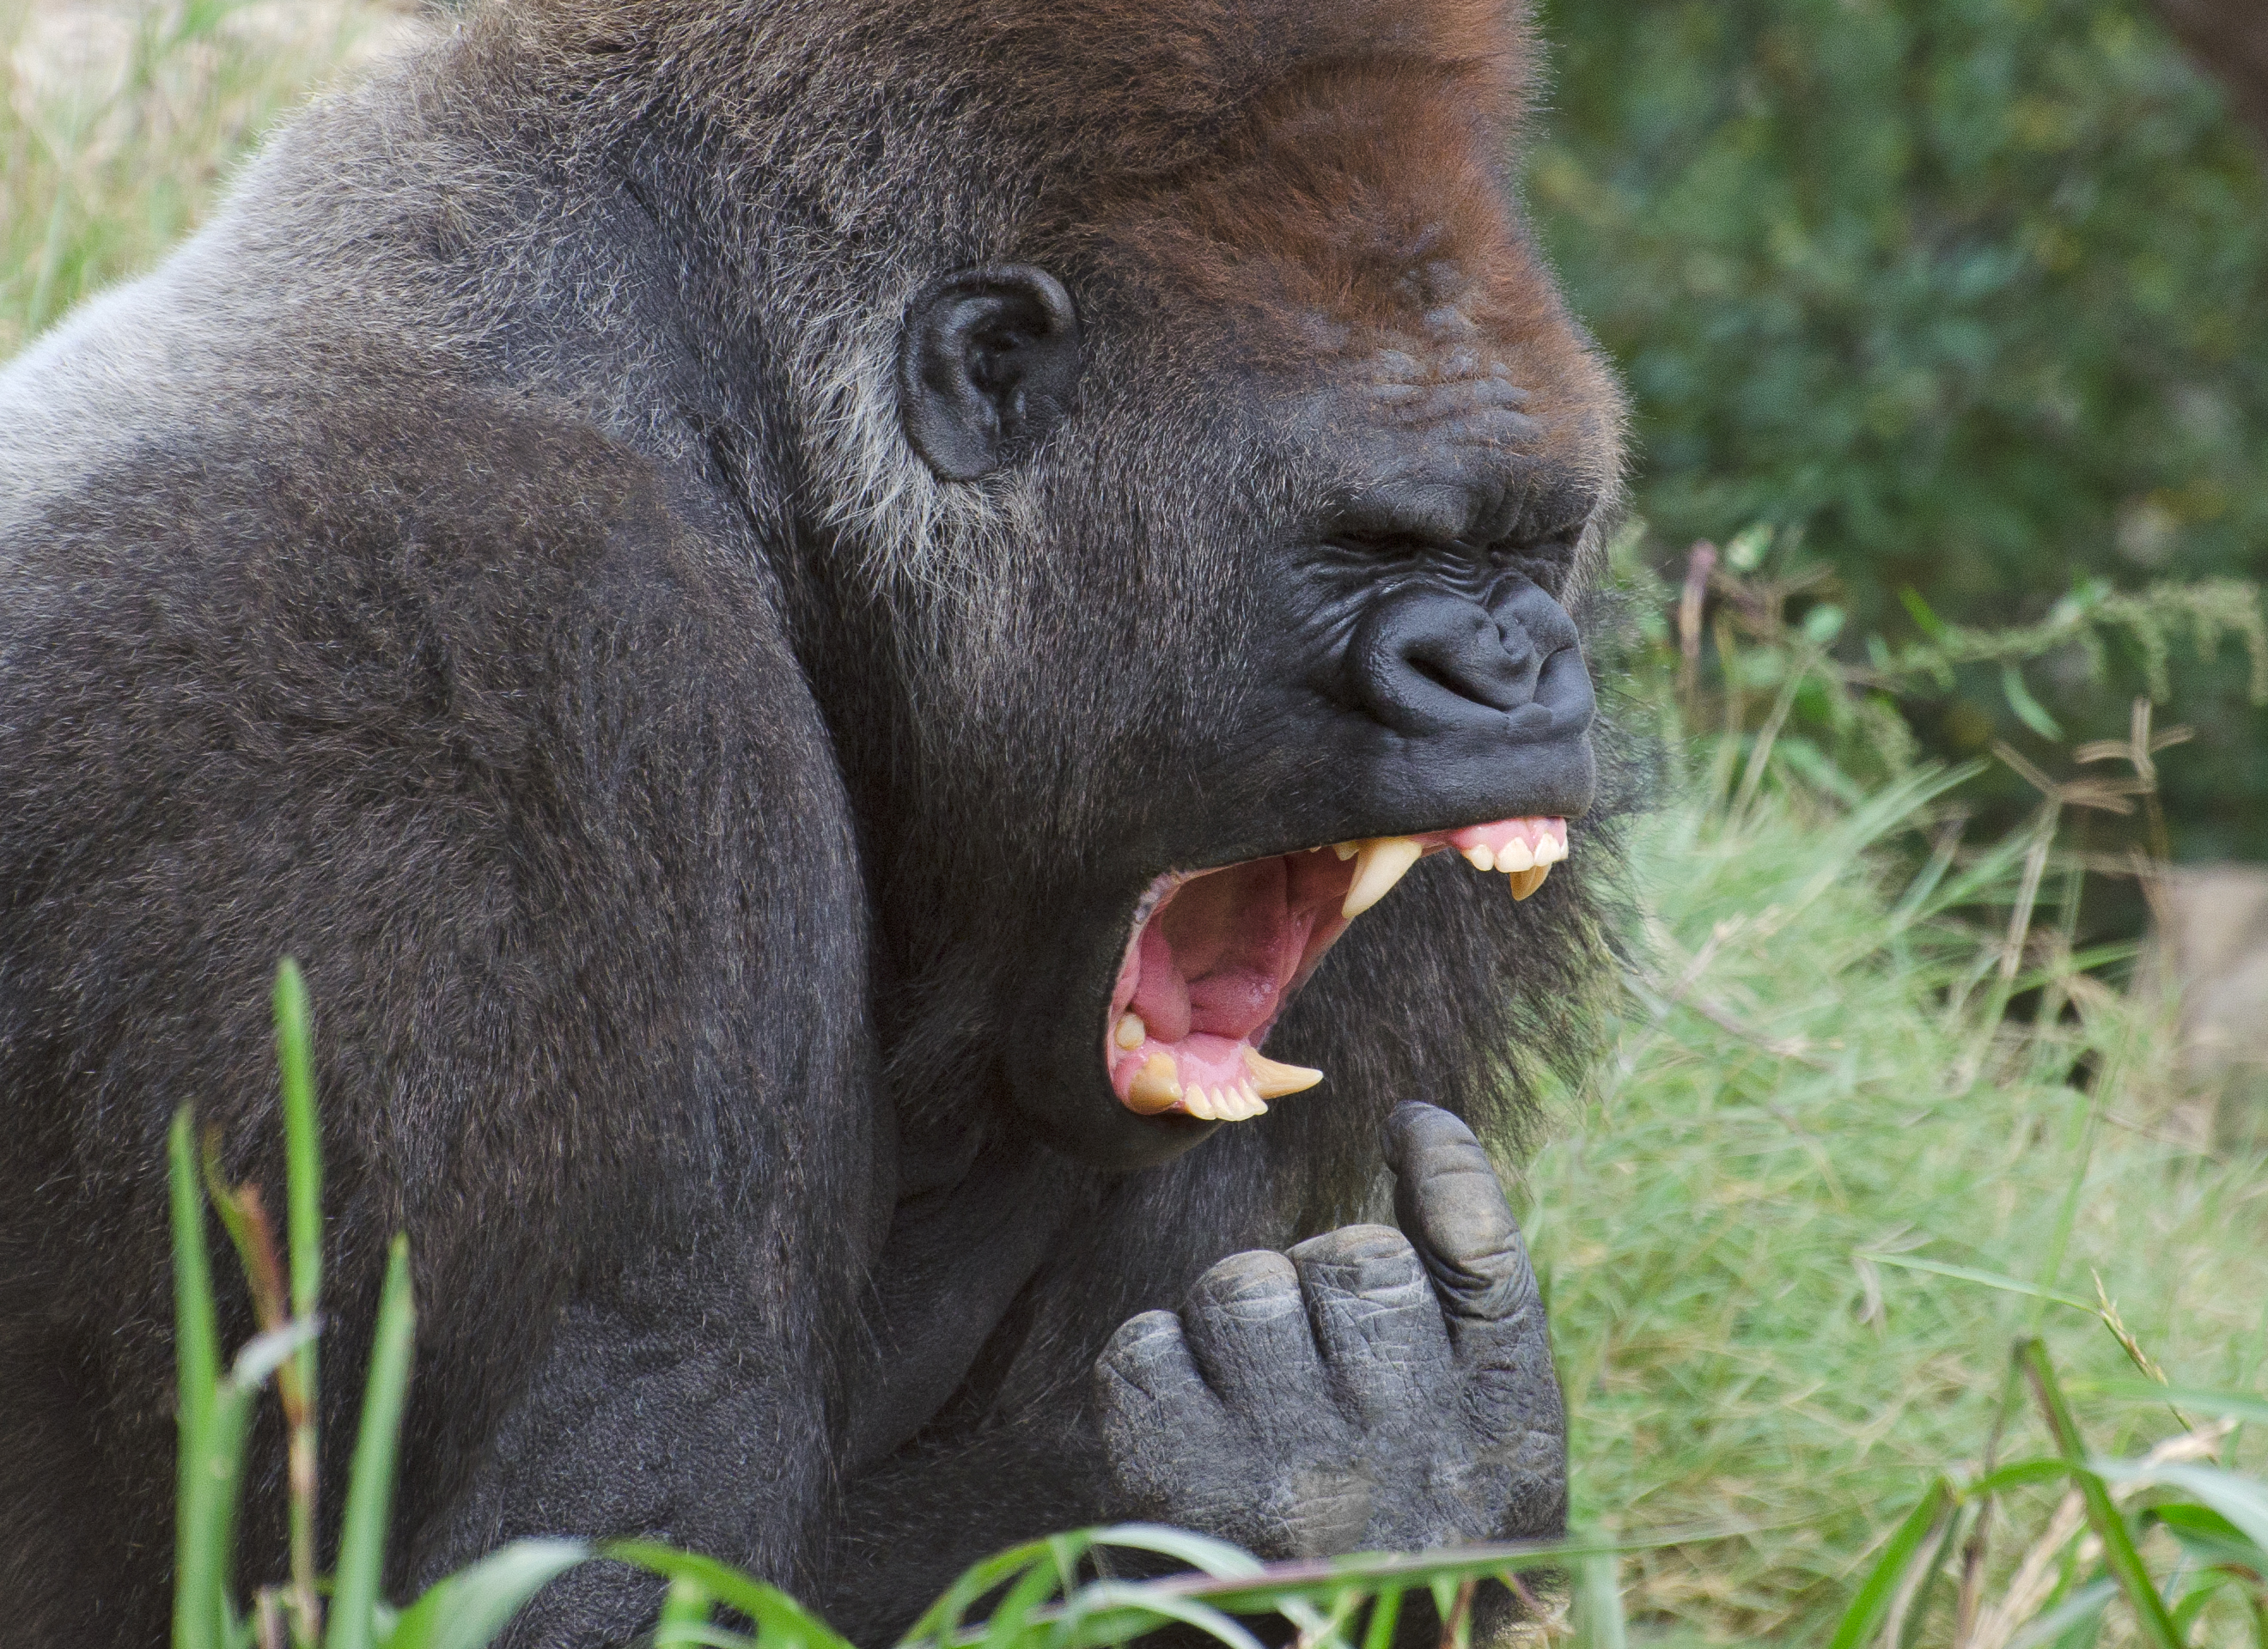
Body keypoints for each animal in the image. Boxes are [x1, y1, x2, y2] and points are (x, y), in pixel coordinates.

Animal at [0, 0, 1627, 1643]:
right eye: (1371, 541)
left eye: (1534, 540)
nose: (1516, 669)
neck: (733, 414)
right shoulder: (516, 654)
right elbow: (568, 1571)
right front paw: (1343, 1501)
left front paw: (1391, 1501)